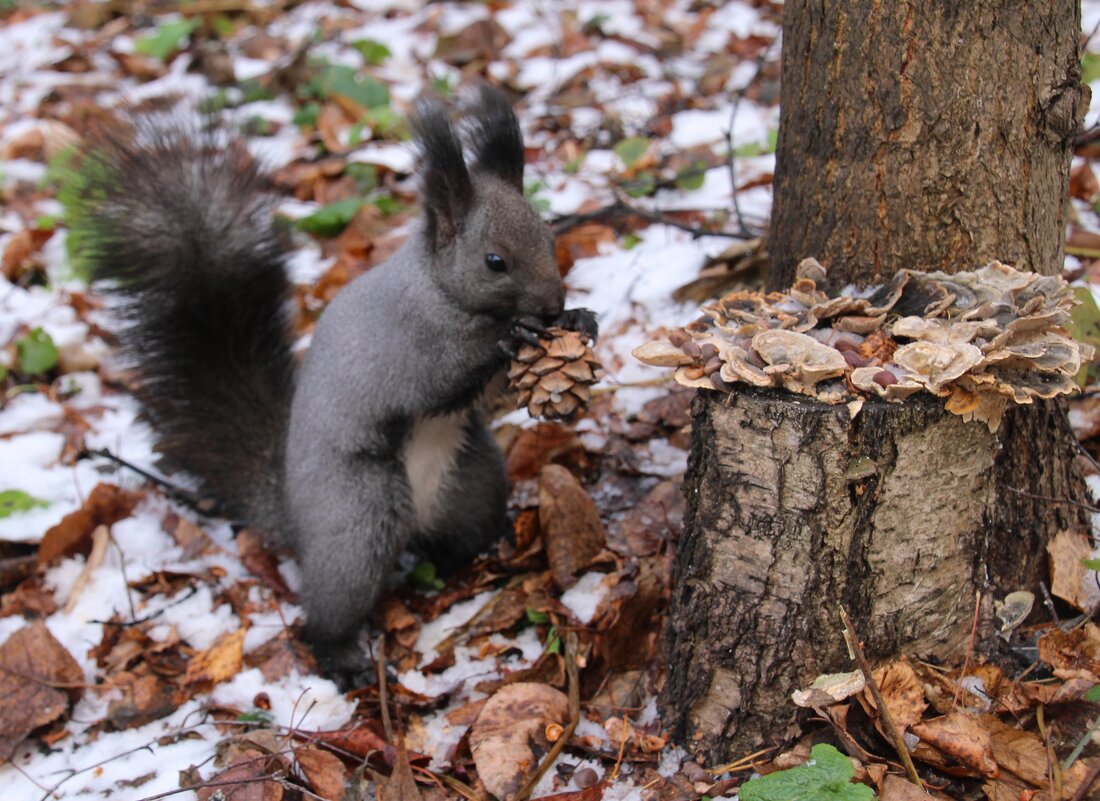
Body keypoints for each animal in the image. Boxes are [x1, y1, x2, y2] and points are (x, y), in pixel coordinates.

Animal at [69, 85, 598, 677]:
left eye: (550, 235)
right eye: (495, 262)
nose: (550, 305)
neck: (439, 291)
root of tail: (296, 520)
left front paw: (579, 321)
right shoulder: (406, 347)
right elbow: (441, 375)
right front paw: (512, 334)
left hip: (472, 484)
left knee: (456, 540)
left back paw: (489, 551)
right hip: (358, 519)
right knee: (329, 608)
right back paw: (342, 659)